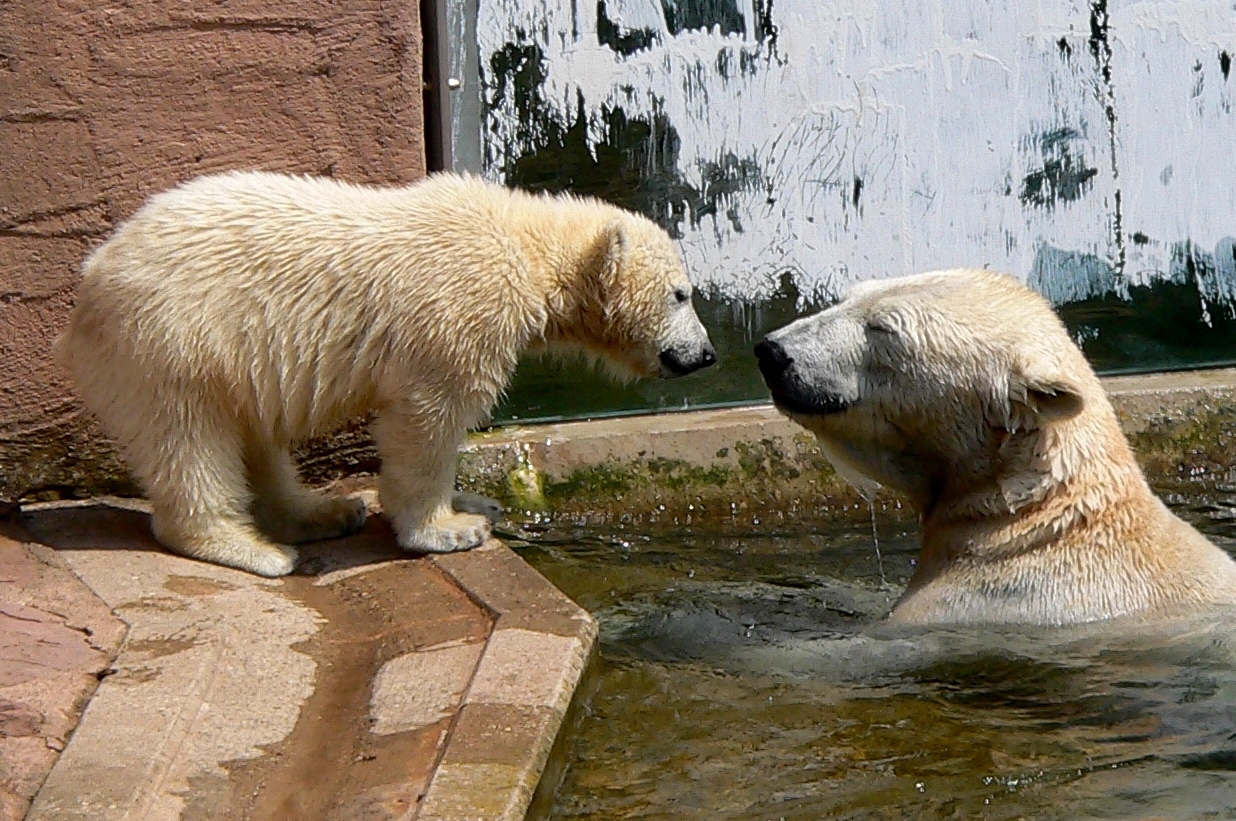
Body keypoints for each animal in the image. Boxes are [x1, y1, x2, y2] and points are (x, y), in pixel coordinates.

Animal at [60, 169, 716, 573]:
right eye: (681, 294)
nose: (706, 355)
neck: (523, 247)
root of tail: (92, 278)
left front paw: (478, 504)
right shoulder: (456, 316)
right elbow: (428, 420)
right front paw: (449, 528)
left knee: (252, 434)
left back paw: (319, 513)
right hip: (173, 342)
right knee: (189, 440)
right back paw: (249, 548)